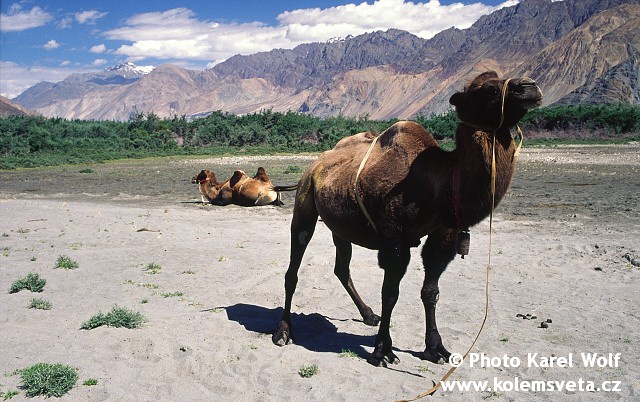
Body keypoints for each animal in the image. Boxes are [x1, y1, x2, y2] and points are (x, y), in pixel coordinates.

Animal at [272, 71, 544, 368]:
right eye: (487, 89)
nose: (530, 87)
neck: (438, 182)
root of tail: (315, 165)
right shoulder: (394, 238)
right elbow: (390, 293)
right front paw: (382, 350)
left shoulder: (443, 234)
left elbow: (430, 291)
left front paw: (435, 348)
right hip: (305, 203)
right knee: (293, 266)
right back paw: (283, 330)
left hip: (341, 226)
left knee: (341, 268)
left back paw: (368, 315)